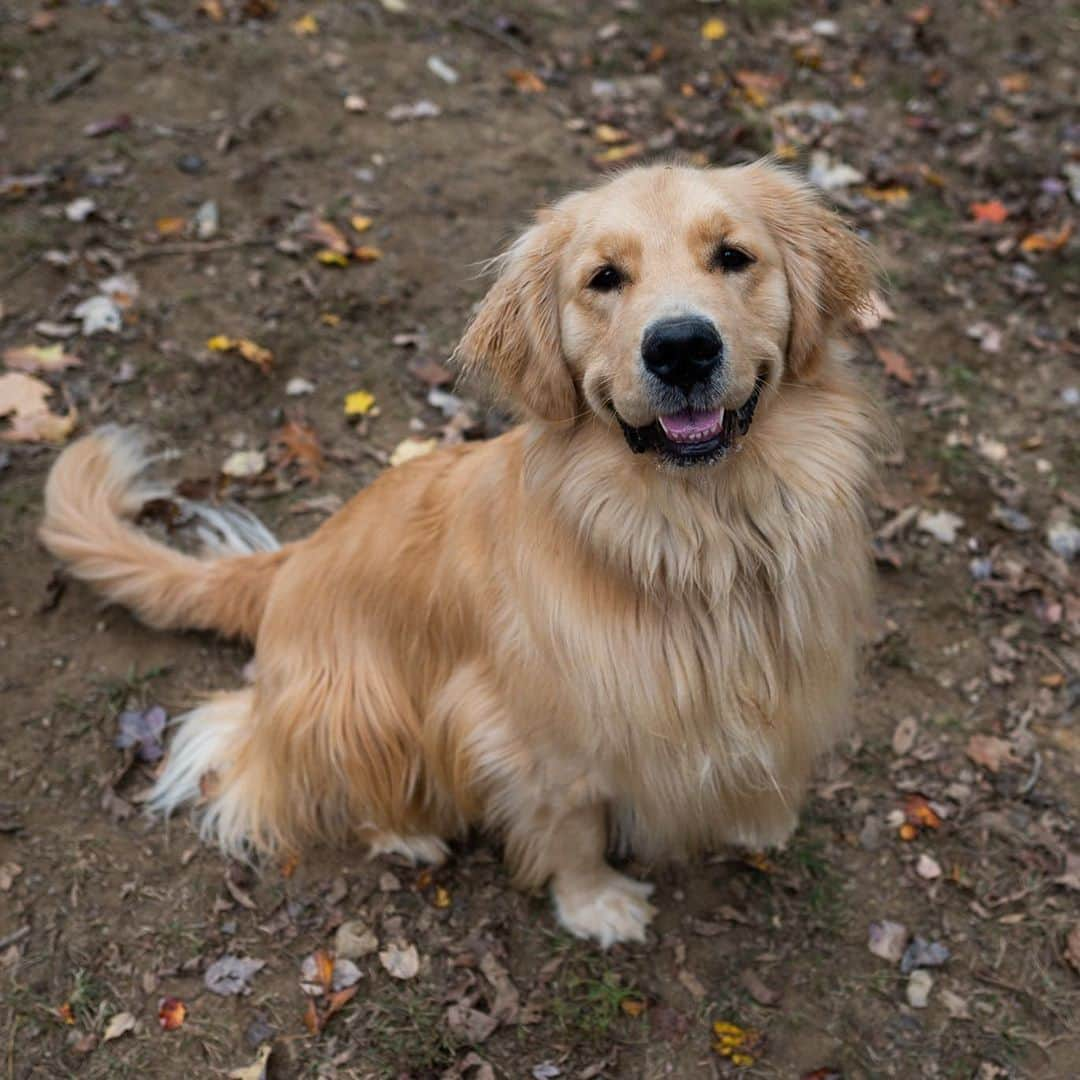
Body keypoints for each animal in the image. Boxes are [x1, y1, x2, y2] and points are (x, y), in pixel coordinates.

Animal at [39, 159, 876, 946]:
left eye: (734, 257)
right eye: (604, 278)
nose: (681, 349)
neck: (700, 539)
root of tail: (296, 557)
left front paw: (758, 818)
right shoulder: (527, 733)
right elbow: (570, 828)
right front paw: (594, 903)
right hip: (356, 707)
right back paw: (405, 833)